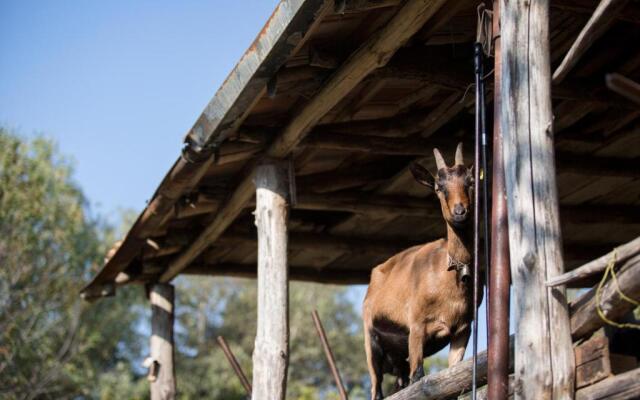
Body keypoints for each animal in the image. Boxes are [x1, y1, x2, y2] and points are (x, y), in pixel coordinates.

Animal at [362, 143, 478, 396]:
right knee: (378, 389)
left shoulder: (463, 330)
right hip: (371, 344)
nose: (460, 212)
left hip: (397, 361)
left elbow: (455, 380)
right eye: (438, 187)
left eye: (471, 181)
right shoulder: (416, 328)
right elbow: (419, 379)